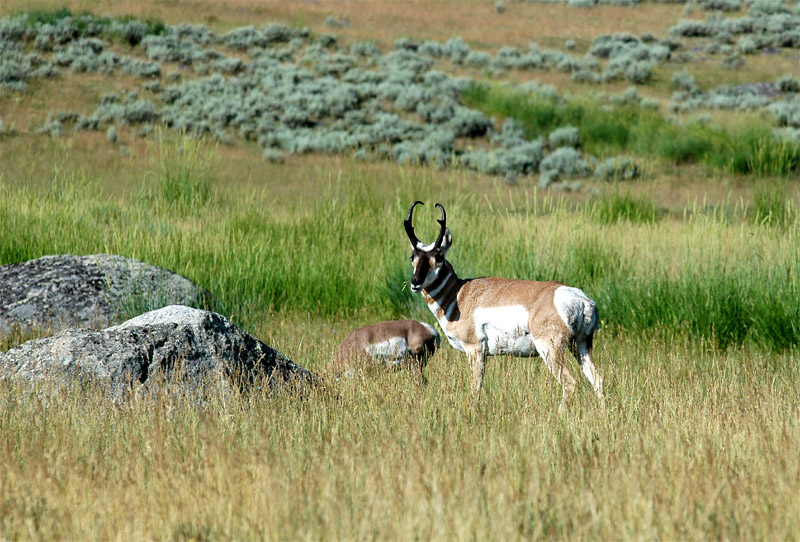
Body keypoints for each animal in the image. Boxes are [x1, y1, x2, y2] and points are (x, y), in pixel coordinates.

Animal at [404, 202, 604, 410]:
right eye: (413, 256)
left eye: (439, 256)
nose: (415, 282)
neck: (459, 294)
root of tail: (581, 299)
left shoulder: (475, 350)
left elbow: (475, 389)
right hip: (581, 346)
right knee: (597, 380)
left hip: (550, 350)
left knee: (570, 383)